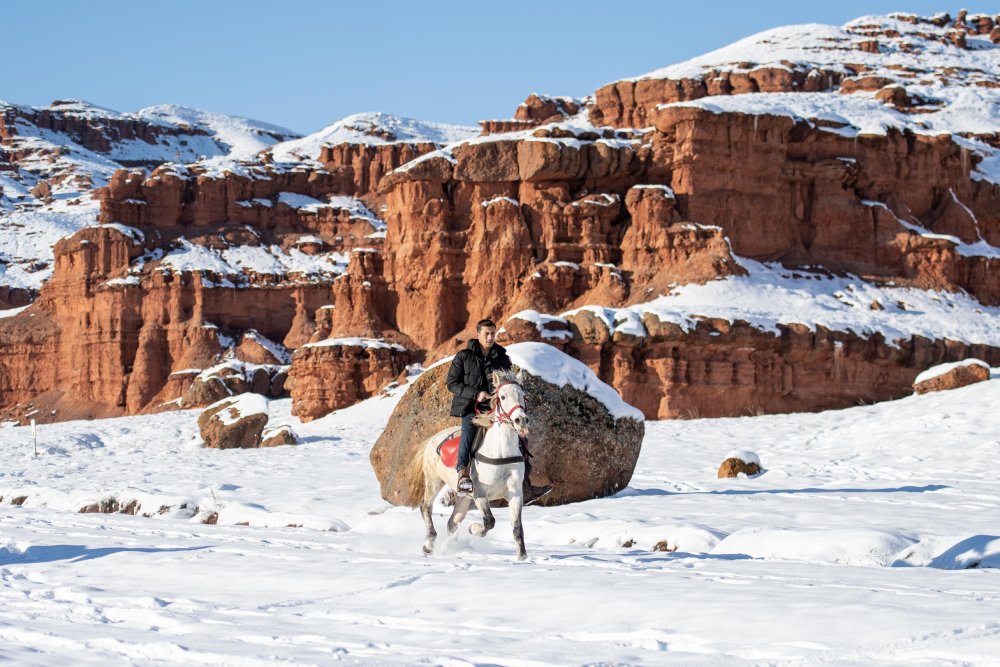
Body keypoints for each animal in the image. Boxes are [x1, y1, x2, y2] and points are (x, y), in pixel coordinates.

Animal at [408, 368, 532, 560]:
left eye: (523, 396)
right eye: (502, 396)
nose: (521, 420)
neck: (501, 452)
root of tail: (432, 440)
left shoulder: (516, 494)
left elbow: (518, 528)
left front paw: (522, 558)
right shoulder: (480, 493)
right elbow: (489, 521)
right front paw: (473, 529)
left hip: (463, 498)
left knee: (452, 522)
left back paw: (448, 547)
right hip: (434, 481)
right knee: (425, 507)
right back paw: (429, 545)